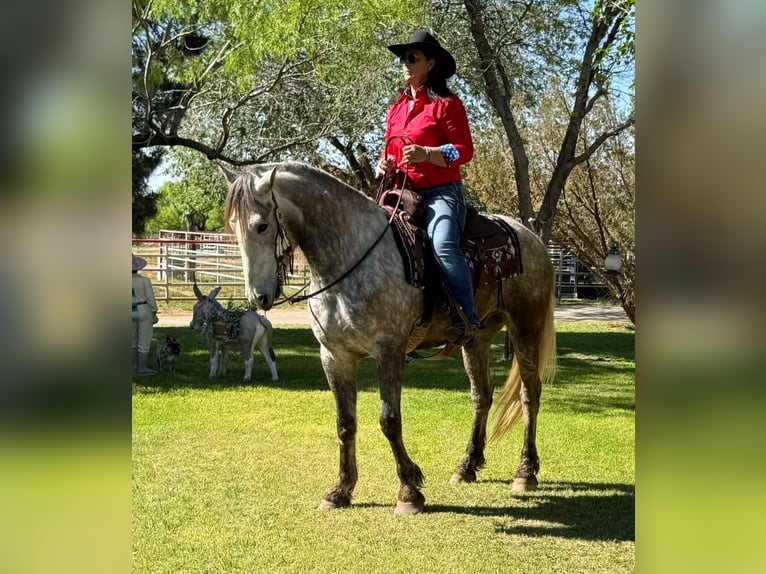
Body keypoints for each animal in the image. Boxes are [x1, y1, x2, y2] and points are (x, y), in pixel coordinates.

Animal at [219, 163, 556, 516]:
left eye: (261, 225)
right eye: (232, 227)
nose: (258, 296)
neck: (350, 258)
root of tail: (530, 236)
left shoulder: (390, 351)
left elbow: (389, 420)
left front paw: (409, 489)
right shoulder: (334, 356)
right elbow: (345, 423)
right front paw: (340, 490)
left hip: (526, 326)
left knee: (530, 393)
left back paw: (526, 471)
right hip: (476, 340)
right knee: (482, 396)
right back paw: (467, 465)